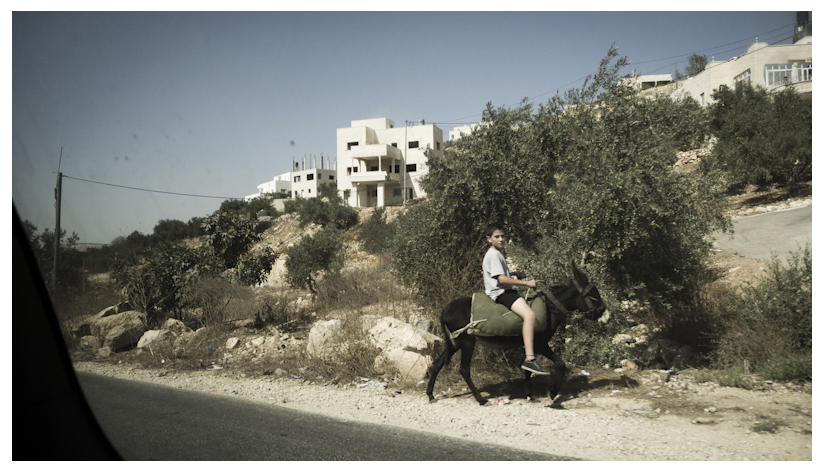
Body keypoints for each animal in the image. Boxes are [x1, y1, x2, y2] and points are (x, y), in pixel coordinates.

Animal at [426, 261, 610, 405]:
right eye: (594, 295)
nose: (607, 317)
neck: (550, 309)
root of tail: (446, 309)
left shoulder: (527, 345)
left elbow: (527, 369)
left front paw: (529, 394)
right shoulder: (540, 344)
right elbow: (561, 364)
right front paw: (553, 393)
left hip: (455, 342)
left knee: (437, 364)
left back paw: (430, 395)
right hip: (467, 342)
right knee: (464, 370)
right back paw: (480, 399)